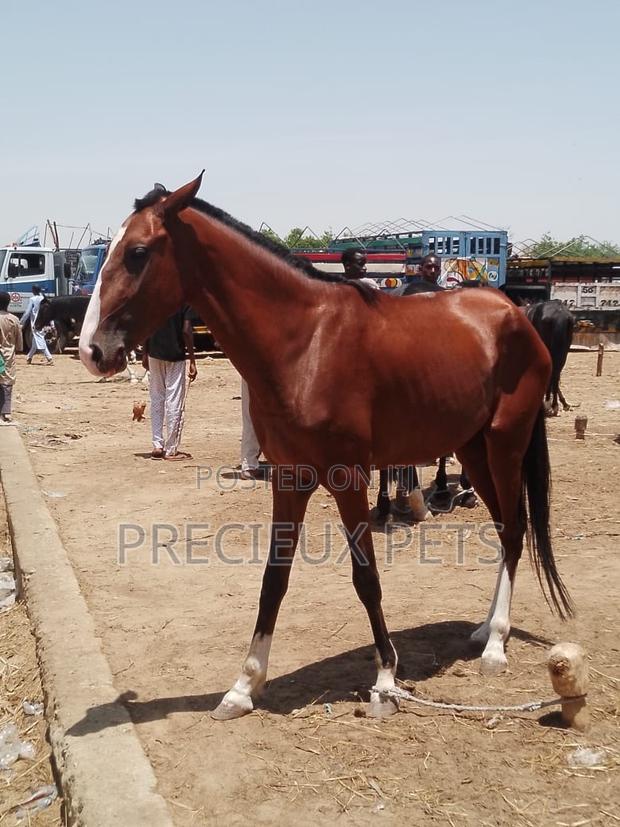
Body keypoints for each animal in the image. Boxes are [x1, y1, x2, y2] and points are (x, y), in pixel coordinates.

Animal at [78, 174, 573, 720]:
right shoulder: (290, 478)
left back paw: (496, 646)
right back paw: (485, 629)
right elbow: (273, 579)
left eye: (137, 252)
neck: (305, 342)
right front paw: (244, 686)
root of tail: (517, 313)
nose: (91, 350)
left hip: (505, 444)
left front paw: (385, 680)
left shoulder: (348, 479)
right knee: (507, 529)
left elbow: (366, 576)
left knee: (515, 530)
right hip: (472, 449)